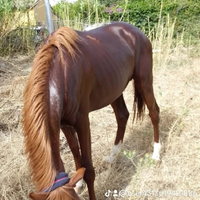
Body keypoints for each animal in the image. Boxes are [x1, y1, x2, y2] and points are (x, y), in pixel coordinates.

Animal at [22, 21, 160, 200]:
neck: (62, 70)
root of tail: (136, 31)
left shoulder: (82, 122)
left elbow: (88, 169)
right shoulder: (63, 124)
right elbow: (76, 154)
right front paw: (78, 183)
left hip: (144, 80)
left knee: (154, 112)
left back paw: (156, 154)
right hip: (114, 89)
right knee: (122, 116)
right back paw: (112, 156)